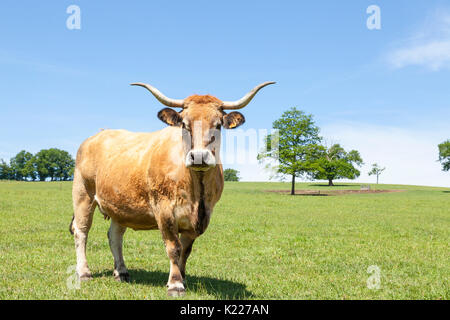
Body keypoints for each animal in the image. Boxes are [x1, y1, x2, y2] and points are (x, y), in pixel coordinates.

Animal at [69, 81, 274, 296]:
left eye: (218, 125)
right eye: (184, 124)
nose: (199, 156)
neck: (197, 192)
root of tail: (98, 134)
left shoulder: (201, 217)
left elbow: (186, 250)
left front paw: (182, 278)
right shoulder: (164, 211)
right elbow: (174, 247)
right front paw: (175, 284)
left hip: (120, 205)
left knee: (115, 236)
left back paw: (122, 272)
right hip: (83, 194)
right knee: (81, 231)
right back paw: (84, 272)